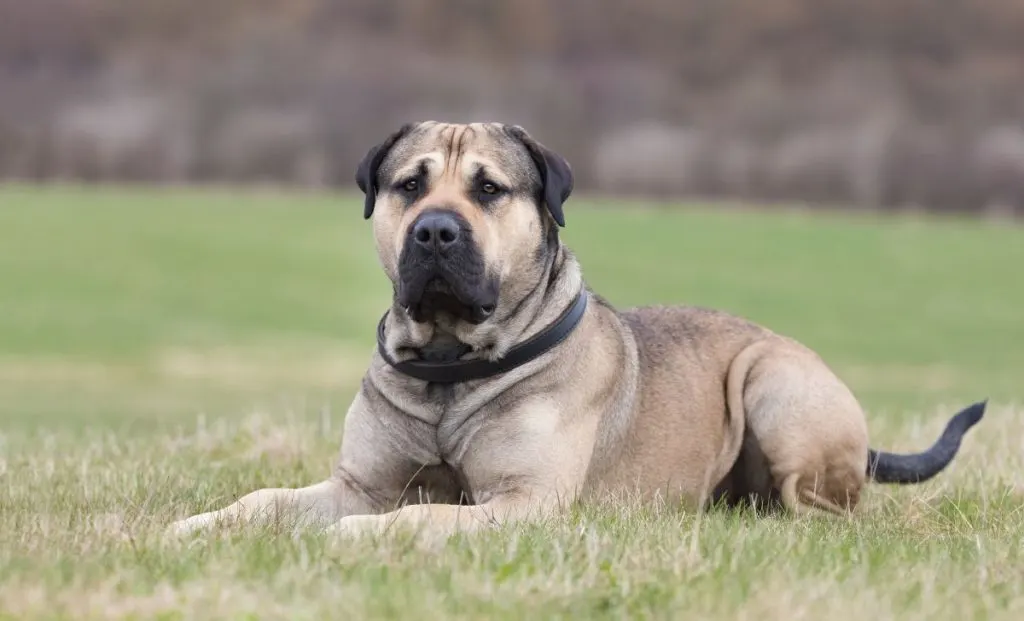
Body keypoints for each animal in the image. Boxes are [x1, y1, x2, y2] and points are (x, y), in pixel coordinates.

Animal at [165, 121, 983, 541]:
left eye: (489, 189)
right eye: (409, 184)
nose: (435, 231)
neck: (449, 362)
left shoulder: (526, 501)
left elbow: (419, 516)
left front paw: (356, 539)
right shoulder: (358, 483)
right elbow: (261, 500)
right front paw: (195, 525)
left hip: (773, 381)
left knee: (826, 508)